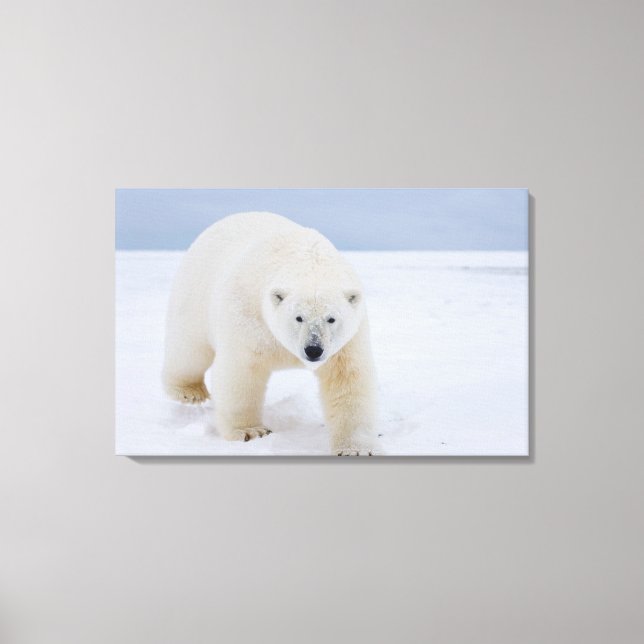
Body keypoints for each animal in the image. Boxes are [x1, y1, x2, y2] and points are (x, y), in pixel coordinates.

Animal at [162, 211, 378, 456]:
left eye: (331, 318)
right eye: (298, 317)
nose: (313, 350)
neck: (307, 260)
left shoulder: (349, 339)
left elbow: (349, 381)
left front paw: (355, 449)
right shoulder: (248, 316)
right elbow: (241, 371)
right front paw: (250, 431)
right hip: (196, 294)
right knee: (190, 348)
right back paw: (189, 392)